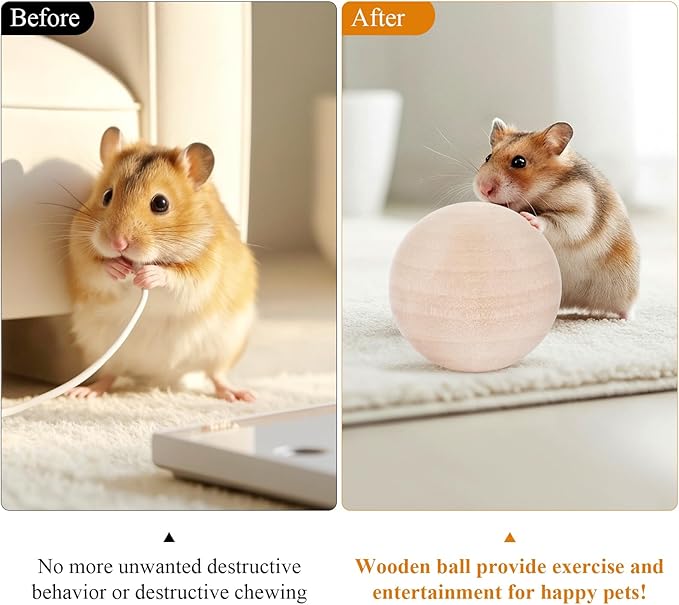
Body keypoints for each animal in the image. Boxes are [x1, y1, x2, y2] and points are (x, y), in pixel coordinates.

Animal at [66, 126, 258, 401]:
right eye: (107, 196)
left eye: (160, 203)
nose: (118, 243)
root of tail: (160, 378)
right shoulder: (80, 254)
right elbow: (98, 269)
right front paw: (118, 268)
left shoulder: (206, 269)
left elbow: (179, 277)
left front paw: (148, 275)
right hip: (100, 350)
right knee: (109, 376)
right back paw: (82, 392)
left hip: (226, 346)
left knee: (216, 375)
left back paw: (240, 396)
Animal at [473, 118, 639, 319]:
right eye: (488, 157)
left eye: (519, 162)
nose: (483, 189)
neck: (543, 191)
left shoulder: (579, 212)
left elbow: (552, 221)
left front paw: (529, 219)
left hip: (623, 289)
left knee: (627, 308)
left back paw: (625, 319)